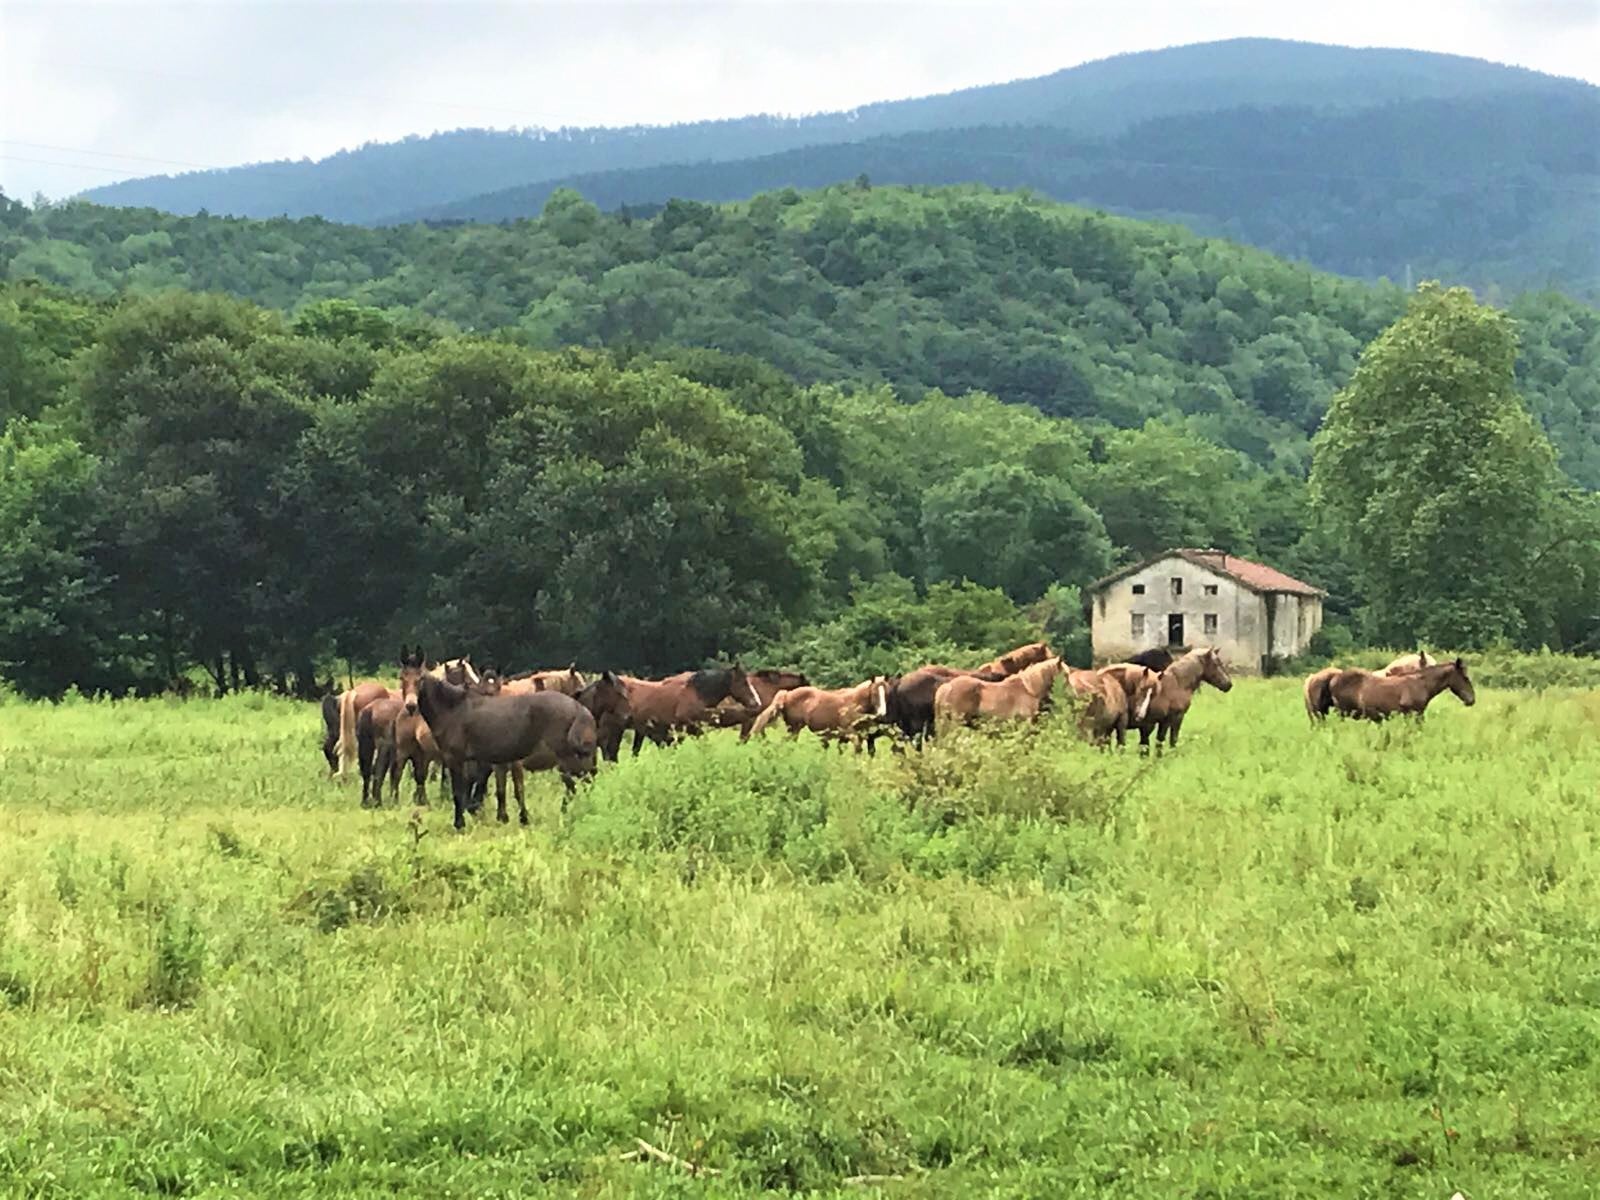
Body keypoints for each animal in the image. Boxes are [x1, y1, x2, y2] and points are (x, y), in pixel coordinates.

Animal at [413, 672, 599, 830]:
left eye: (419, 680)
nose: (411, 706)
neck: (454, 709)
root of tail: (579, 708)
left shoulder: (456, 759)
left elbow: (460, 792)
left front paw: (460, 824)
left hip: (567, 760)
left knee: (579, 784)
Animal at [746, 677, 891, 750]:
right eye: (874, 693)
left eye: (887, 692)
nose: (882, 713)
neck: (855, 702)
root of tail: (787, 694)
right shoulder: (851, 733)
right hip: (794, 728)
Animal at [1323, 658, 1474, 723]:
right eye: (1465, 678)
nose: (1472, 700)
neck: (1421, 684)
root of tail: (1334, 678)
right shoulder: (1412, 713)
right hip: (1343, 713)